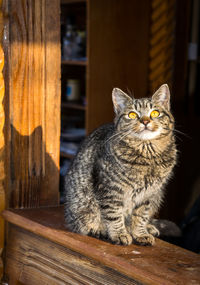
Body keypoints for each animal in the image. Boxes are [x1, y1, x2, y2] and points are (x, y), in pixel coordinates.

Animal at [64, 84, 178, 244]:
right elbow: (114, 215)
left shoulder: (149, 194)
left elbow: (141, 216)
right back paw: (99, 230)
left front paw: (140, 233)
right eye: (132, 115)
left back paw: (148, 227)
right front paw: (119, 233)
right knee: (84, 223)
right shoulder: (110, 190)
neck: (148, 157)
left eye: (155, 113)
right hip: (81, 205)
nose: (145, 121)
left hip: (158, 196)